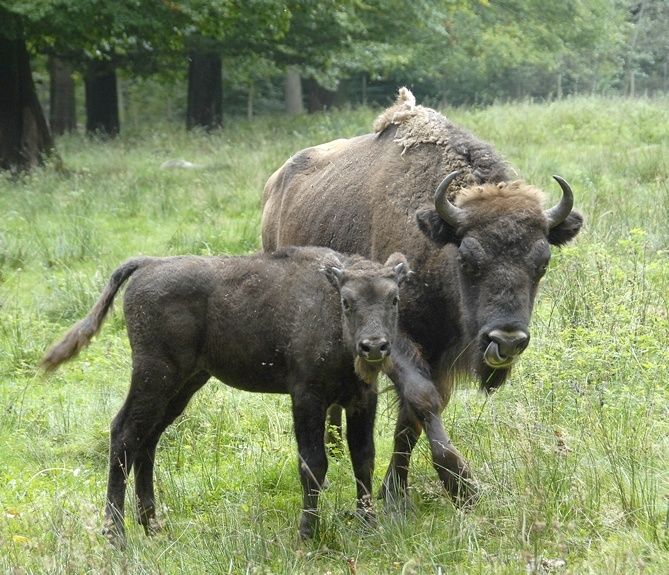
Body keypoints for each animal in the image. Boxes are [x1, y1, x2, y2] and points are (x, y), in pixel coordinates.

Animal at [41, 245, 410, 548]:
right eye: (347, 302)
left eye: (394, 299)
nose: (374, 346)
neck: (329, 307)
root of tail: (149, 264)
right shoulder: (307, 398)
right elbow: (314, 463)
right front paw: (307, 534)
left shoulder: (363, 400)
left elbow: (364, 458)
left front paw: (369, 524)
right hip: (154, 376)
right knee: (124, 433)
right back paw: (116, 535)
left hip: (184, 384)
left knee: (148, 439)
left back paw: (153, 527)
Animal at [260, 89, 580, 504]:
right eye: (467, 258)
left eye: (542, 263)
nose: (507, 340)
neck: (436, 240)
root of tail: (276, 185)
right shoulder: (394, 340)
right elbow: (422, 399)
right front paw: (460, 484)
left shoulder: (439, 354)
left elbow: (411, 419)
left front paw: (394, 490)